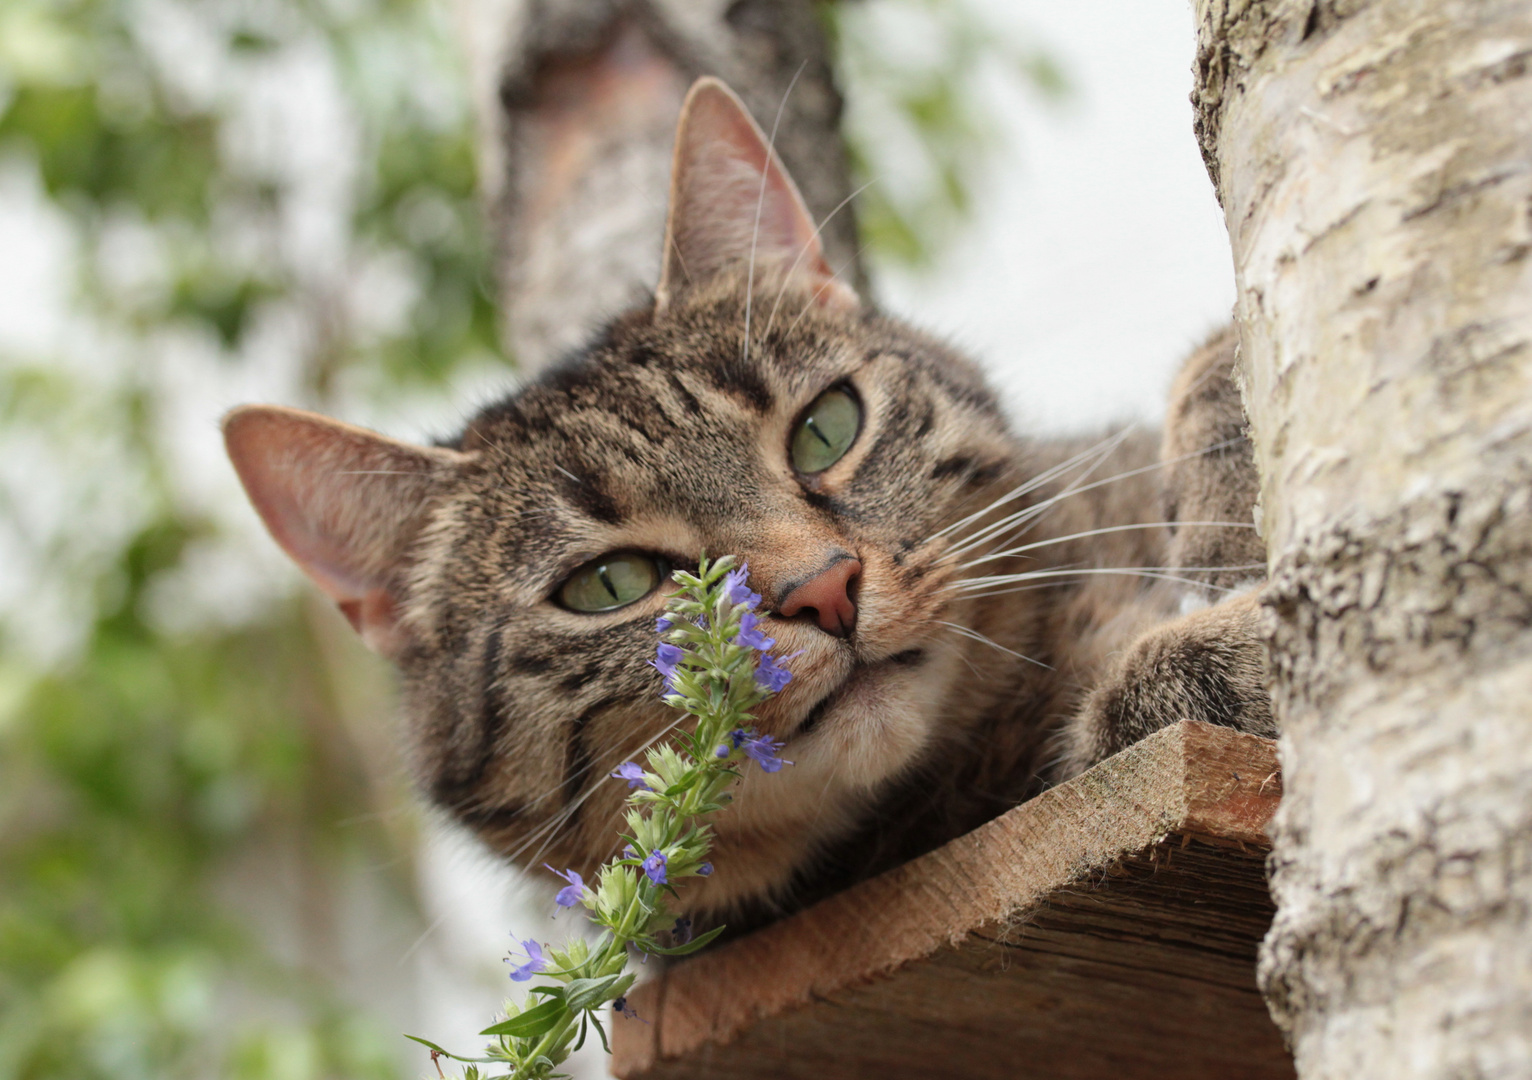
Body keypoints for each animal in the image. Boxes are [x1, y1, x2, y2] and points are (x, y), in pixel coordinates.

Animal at [222, 80, 1274, 925]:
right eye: (611, 584)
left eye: (826, 429)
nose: (826, 590)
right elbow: (1147, 693)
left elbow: (1220, 352)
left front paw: (1225, 507)